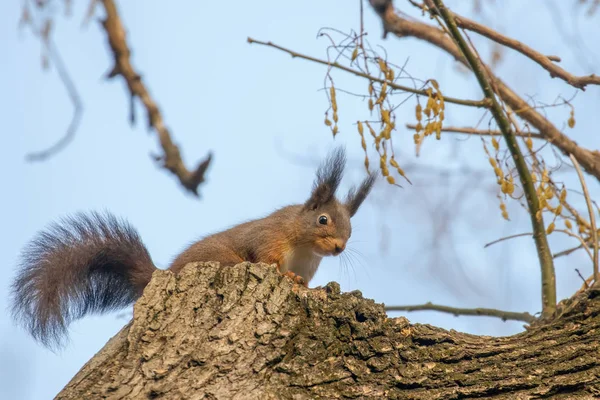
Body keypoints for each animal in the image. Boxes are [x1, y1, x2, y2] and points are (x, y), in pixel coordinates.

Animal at [9, 148, 376, 350]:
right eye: (323, 220)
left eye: (351, 229)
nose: (339, 247)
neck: (303, 248)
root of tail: (163, 273)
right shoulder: (268, 236)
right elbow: (267, 259)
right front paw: (288, 278)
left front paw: (307, 284)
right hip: (221, 259)